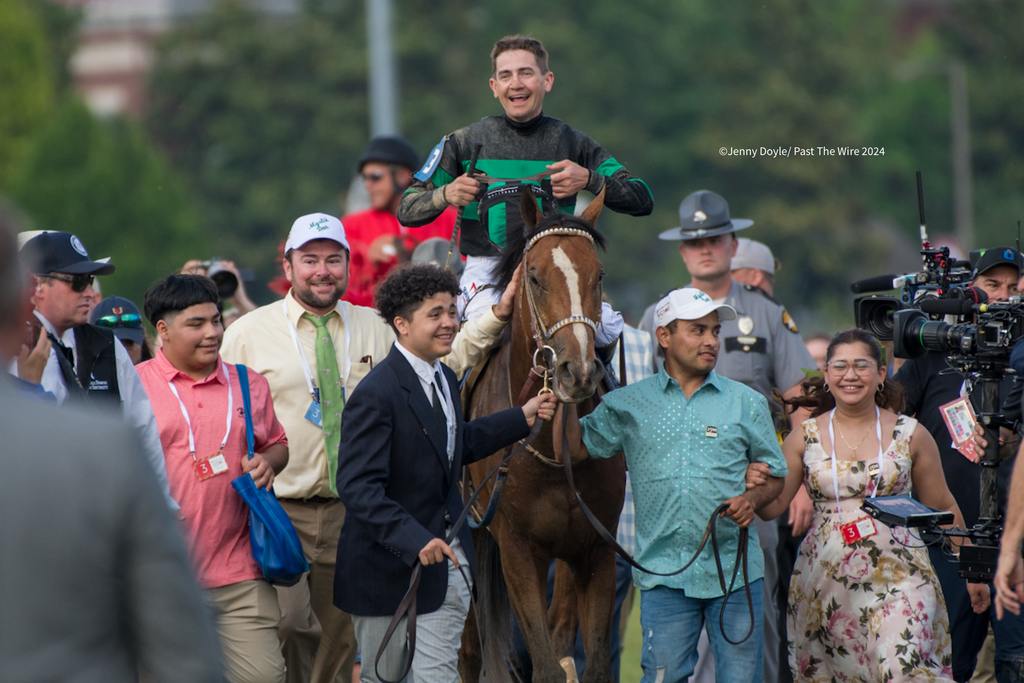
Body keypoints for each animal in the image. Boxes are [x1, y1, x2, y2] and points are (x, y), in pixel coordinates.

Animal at [462, 188, 626, 683]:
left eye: (598, 275)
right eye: (534, 277)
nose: (578, 371)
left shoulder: (596, 548)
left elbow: (590, 664)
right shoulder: (517, 550)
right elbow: (545, 666)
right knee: (472, 649)